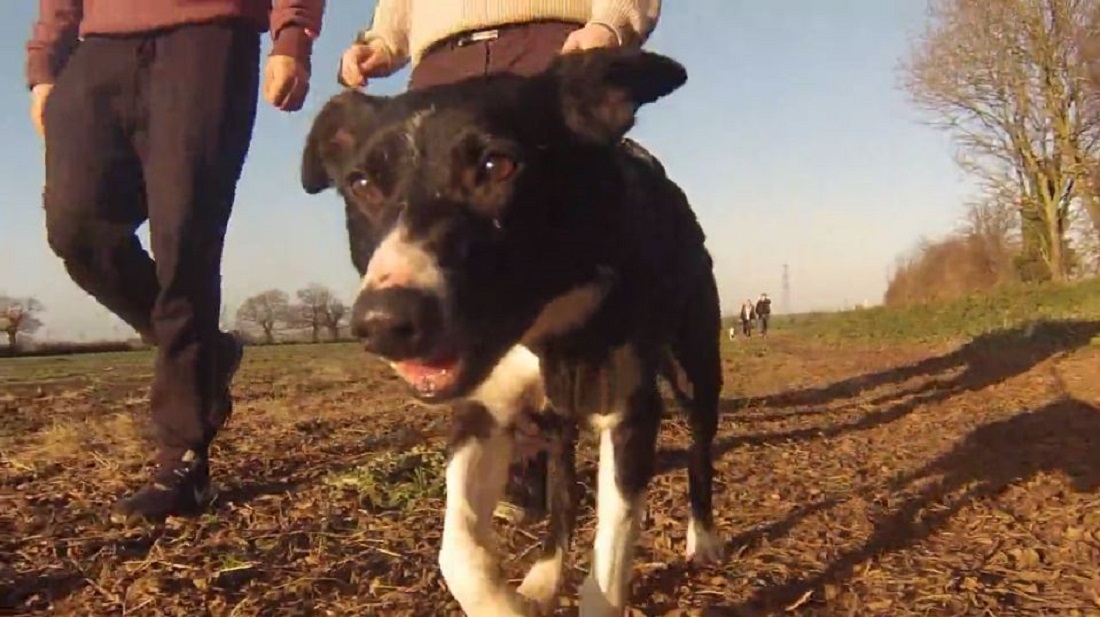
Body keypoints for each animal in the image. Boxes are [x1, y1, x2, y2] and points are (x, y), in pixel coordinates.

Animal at [301, 48, 726, 615]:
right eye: (362, 184)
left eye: (495, 165)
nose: (384, 323)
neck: (545, 324)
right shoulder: (480, 410)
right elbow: (459, 553)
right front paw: (510, 600)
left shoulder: (630, 415)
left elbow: (608, 566)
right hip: (559, 424)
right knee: (564, 490)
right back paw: (544, 575)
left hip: (695, 369)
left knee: (699, 451)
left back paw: (703, 537)